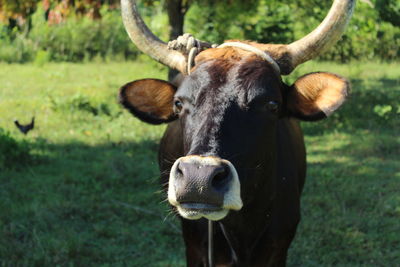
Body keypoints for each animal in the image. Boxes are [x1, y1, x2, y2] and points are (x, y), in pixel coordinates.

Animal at [117, 1, 354, 266]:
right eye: (178, 103)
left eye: (272, 104)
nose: (198, 179)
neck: (242, 229)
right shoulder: (195, 246)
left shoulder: (279, 247)